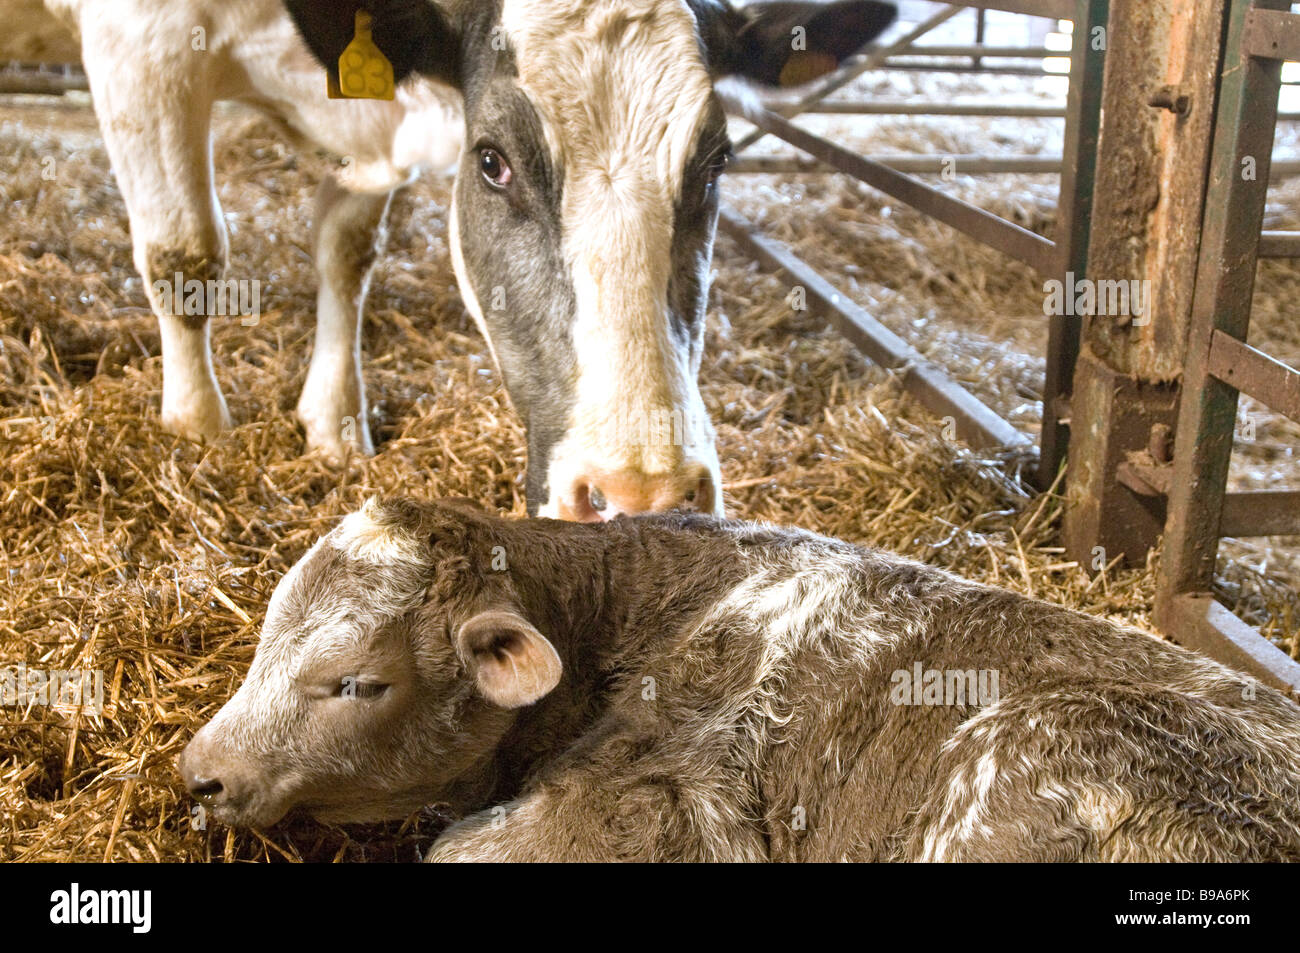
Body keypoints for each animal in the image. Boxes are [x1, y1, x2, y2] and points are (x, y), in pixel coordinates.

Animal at [43, 0, 894, 517]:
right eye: (492, 161)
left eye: (716, 163)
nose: (641, 498)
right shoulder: (141, 44)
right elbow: (184, 254)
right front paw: (197, 432)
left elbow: (345, 250)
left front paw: (334, 423)